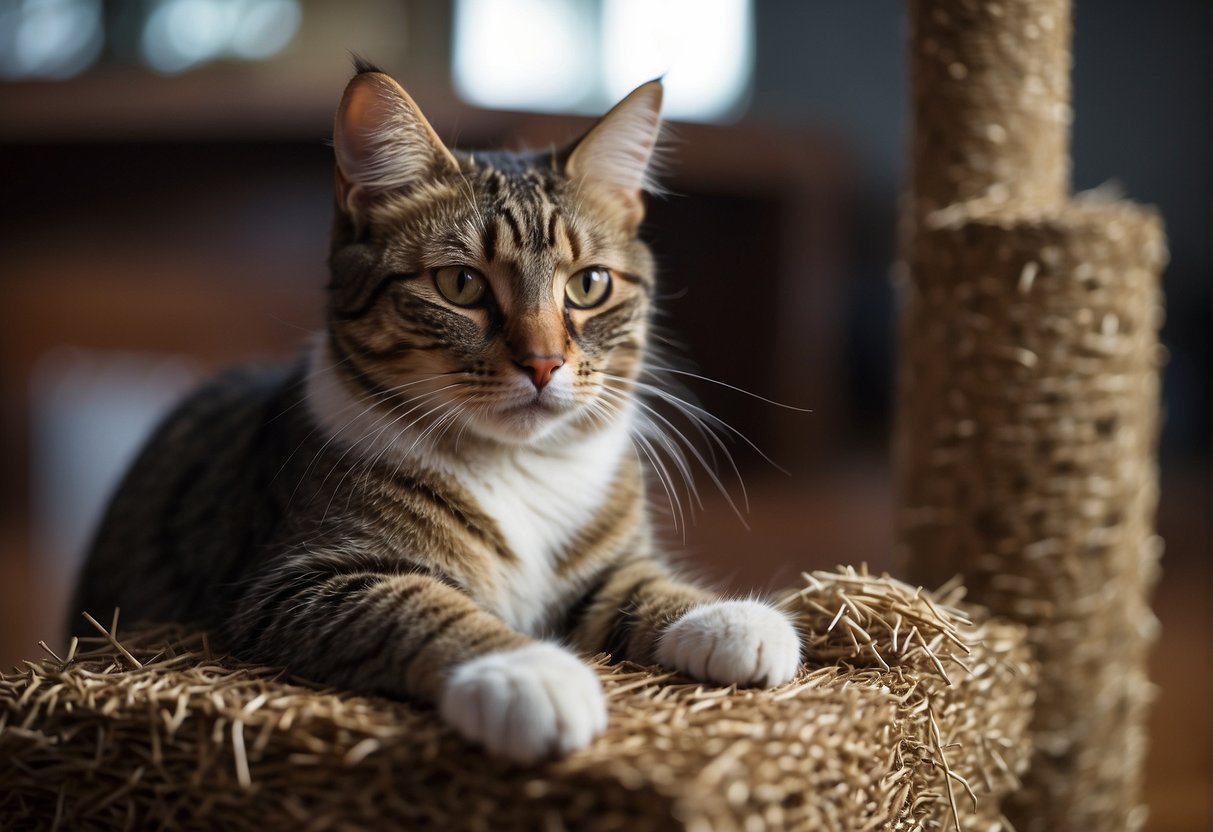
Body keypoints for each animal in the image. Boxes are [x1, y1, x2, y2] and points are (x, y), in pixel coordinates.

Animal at [70, 61, 800, 766]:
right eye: (460, 285)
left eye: (589, 285)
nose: (543, 363)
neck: (514, 466)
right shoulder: (296, 580)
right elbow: (423, 604)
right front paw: (528, 673)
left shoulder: (605, 570)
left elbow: (642, 585)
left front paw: (731, 620)